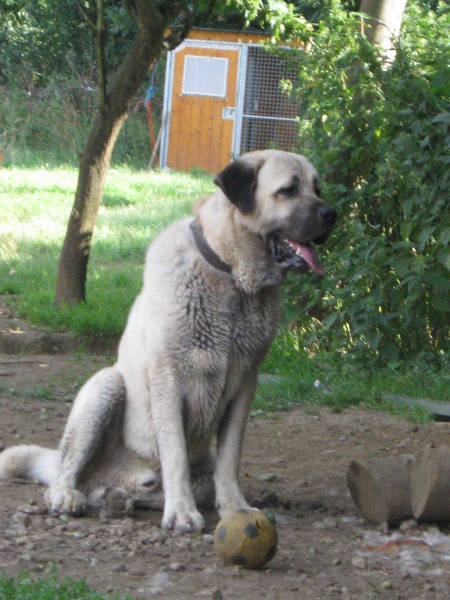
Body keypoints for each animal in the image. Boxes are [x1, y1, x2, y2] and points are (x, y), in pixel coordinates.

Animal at [0, 150, 336, 532]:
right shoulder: (169, 379)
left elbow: (230, 458)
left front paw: (235, 508)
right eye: (288, 190)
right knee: (68, 469)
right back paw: (69, 495)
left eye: (317, 188)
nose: (332, 214)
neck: (229, 276)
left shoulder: (245, 385)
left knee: (148, 486)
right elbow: (175, 453)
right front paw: (182, 513)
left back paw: (115, 498)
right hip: (106, 386)